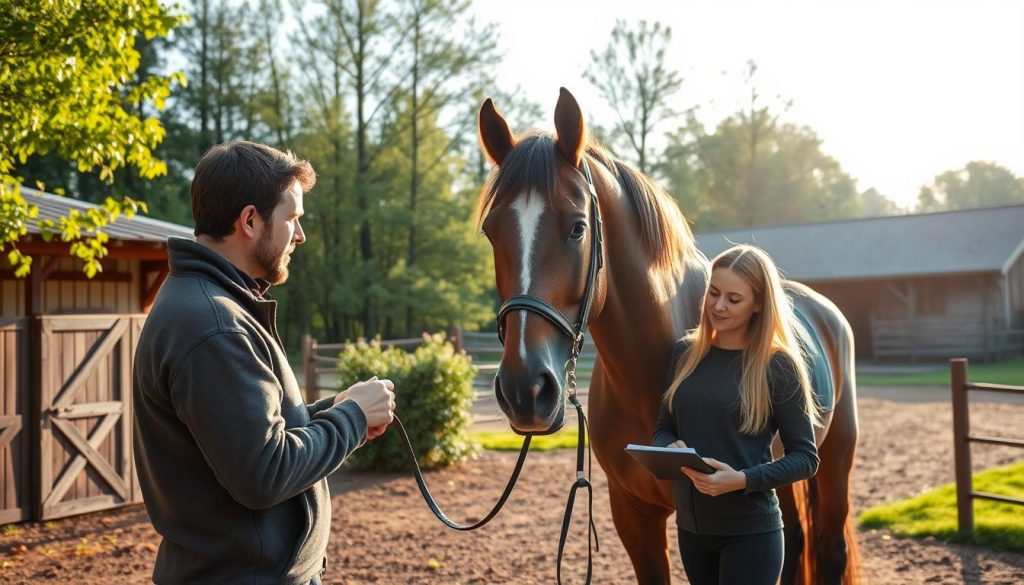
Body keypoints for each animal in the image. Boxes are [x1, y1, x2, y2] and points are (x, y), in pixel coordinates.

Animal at [475, 88, 860, 585]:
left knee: (829, 550)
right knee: (793, 541)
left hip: (834, 461)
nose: (525, 390)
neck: (648, 367)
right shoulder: (632, 514)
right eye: (491, 232)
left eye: (578, 227)